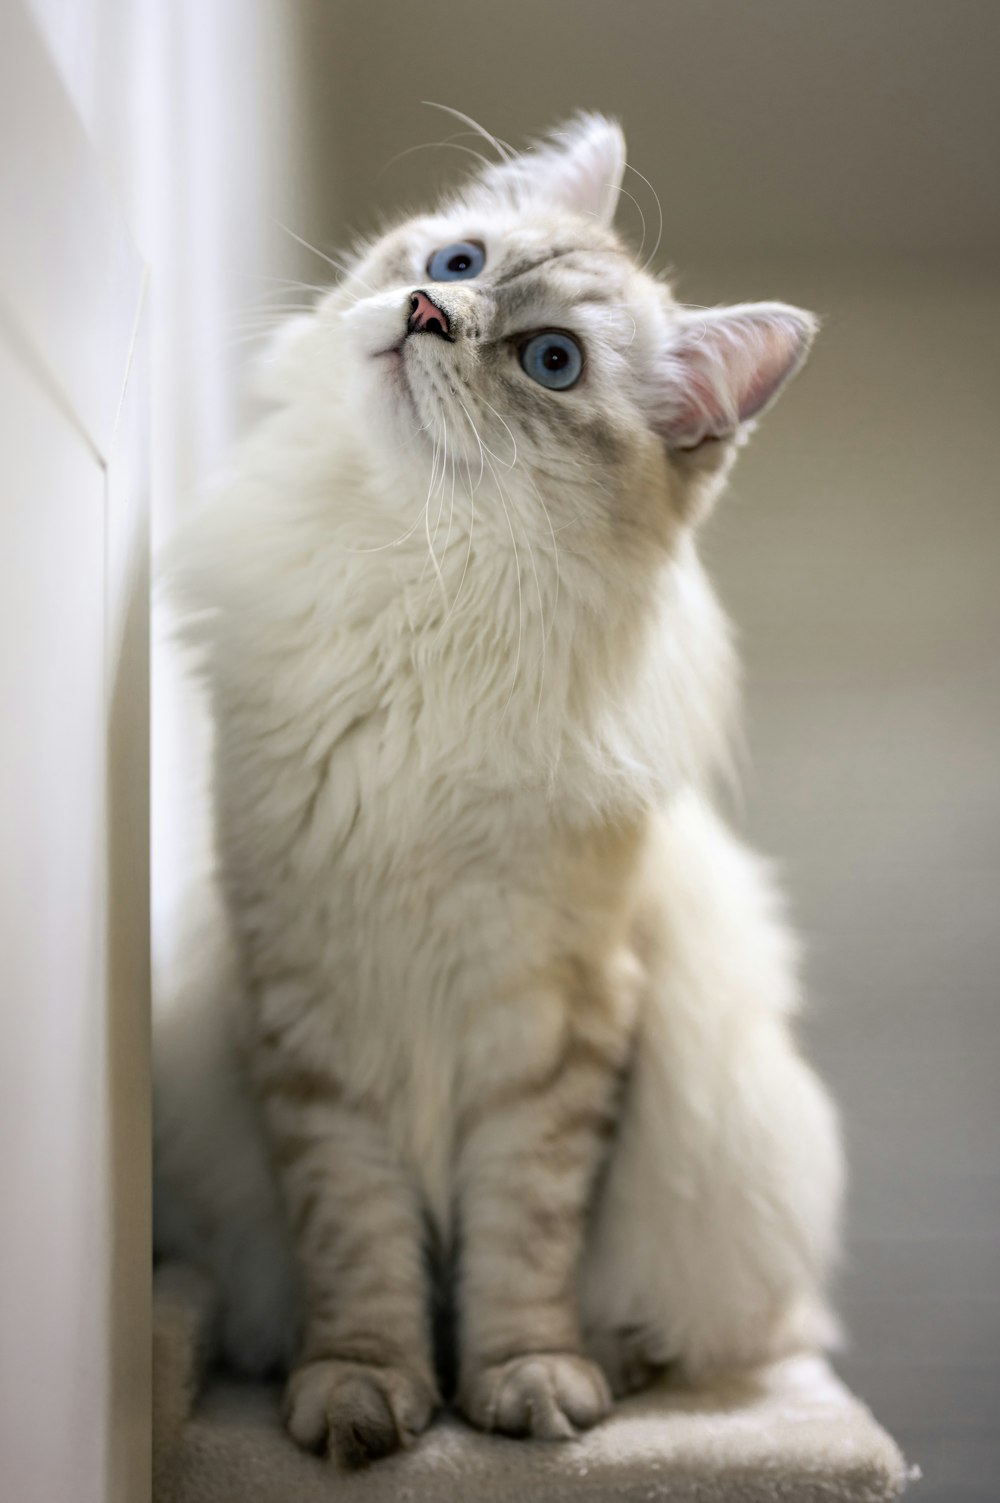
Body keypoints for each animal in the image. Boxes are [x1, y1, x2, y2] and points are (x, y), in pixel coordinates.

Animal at [156, 114, 842, 1466]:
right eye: (458, 261)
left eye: (550, 362)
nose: (428, 310)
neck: (414, 603)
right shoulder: (313, 1020)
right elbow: (359, 1253)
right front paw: (364, 1396)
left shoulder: (556, 1031)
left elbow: (523, 1251)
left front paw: (522, 1388)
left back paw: (618, 1368)